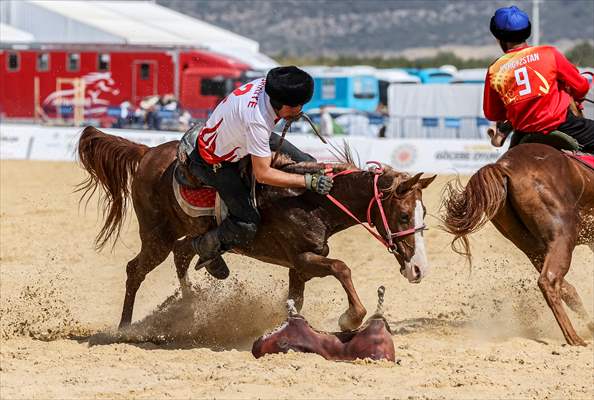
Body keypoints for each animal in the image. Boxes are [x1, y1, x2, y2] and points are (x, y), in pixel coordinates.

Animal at [76, 127, 434, 332]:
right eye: (404, 216)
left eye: (423, 213)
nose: (419, 269)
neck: (308, 200)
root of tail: (146, 152)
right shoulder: (303, 259)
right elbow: (342, 267)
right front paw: (351, 319)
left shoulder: (298, 267)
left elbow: (295, 299)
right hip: (156, 237)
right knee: (135, 270)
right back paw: (125, 328)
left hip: (185, 235)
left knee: (184, 253)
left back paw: (190, 301)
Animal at [440, 143, 592, 344]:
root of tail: (504, 167)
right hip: (562, 238)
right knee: (550, 281)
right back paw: (574, 338)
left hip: (534, 249)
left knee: (566, 289)